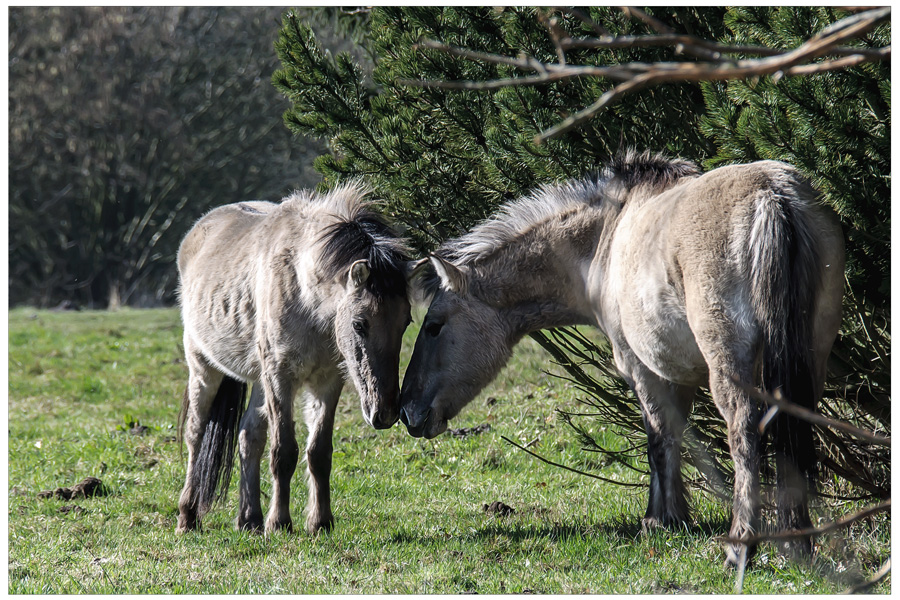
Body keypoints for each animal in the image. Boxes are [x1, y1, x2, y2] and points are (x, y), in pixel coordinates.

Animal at [176, 183, 414, 536]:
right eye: (360, 324)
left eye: (407, 322)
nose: (384, 413)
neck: (302, 288)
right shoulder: (280, 378)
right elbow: (284, 452)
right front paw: (280, 523)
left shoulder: (327, 382)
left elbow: (318, 453)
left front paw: (320, 522)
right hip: (203, 367)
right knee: (196, 434)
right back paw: (188, 516)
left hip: (258, 381)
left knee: (249, 437)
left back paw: (249, 519)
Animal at [400, 152, 844, 564]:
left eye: (434, 325)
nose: (408, 411)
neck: (605, 241)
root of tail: (770, 196)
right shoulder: (675, 374)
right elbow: (673, 436)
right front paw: (675, 515)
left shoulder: (642, 369)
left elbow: (658, 439)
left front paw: (660, 520)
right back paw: (797, 542)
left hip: (730, 368)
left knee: (744, 435)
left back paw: (740, 546)